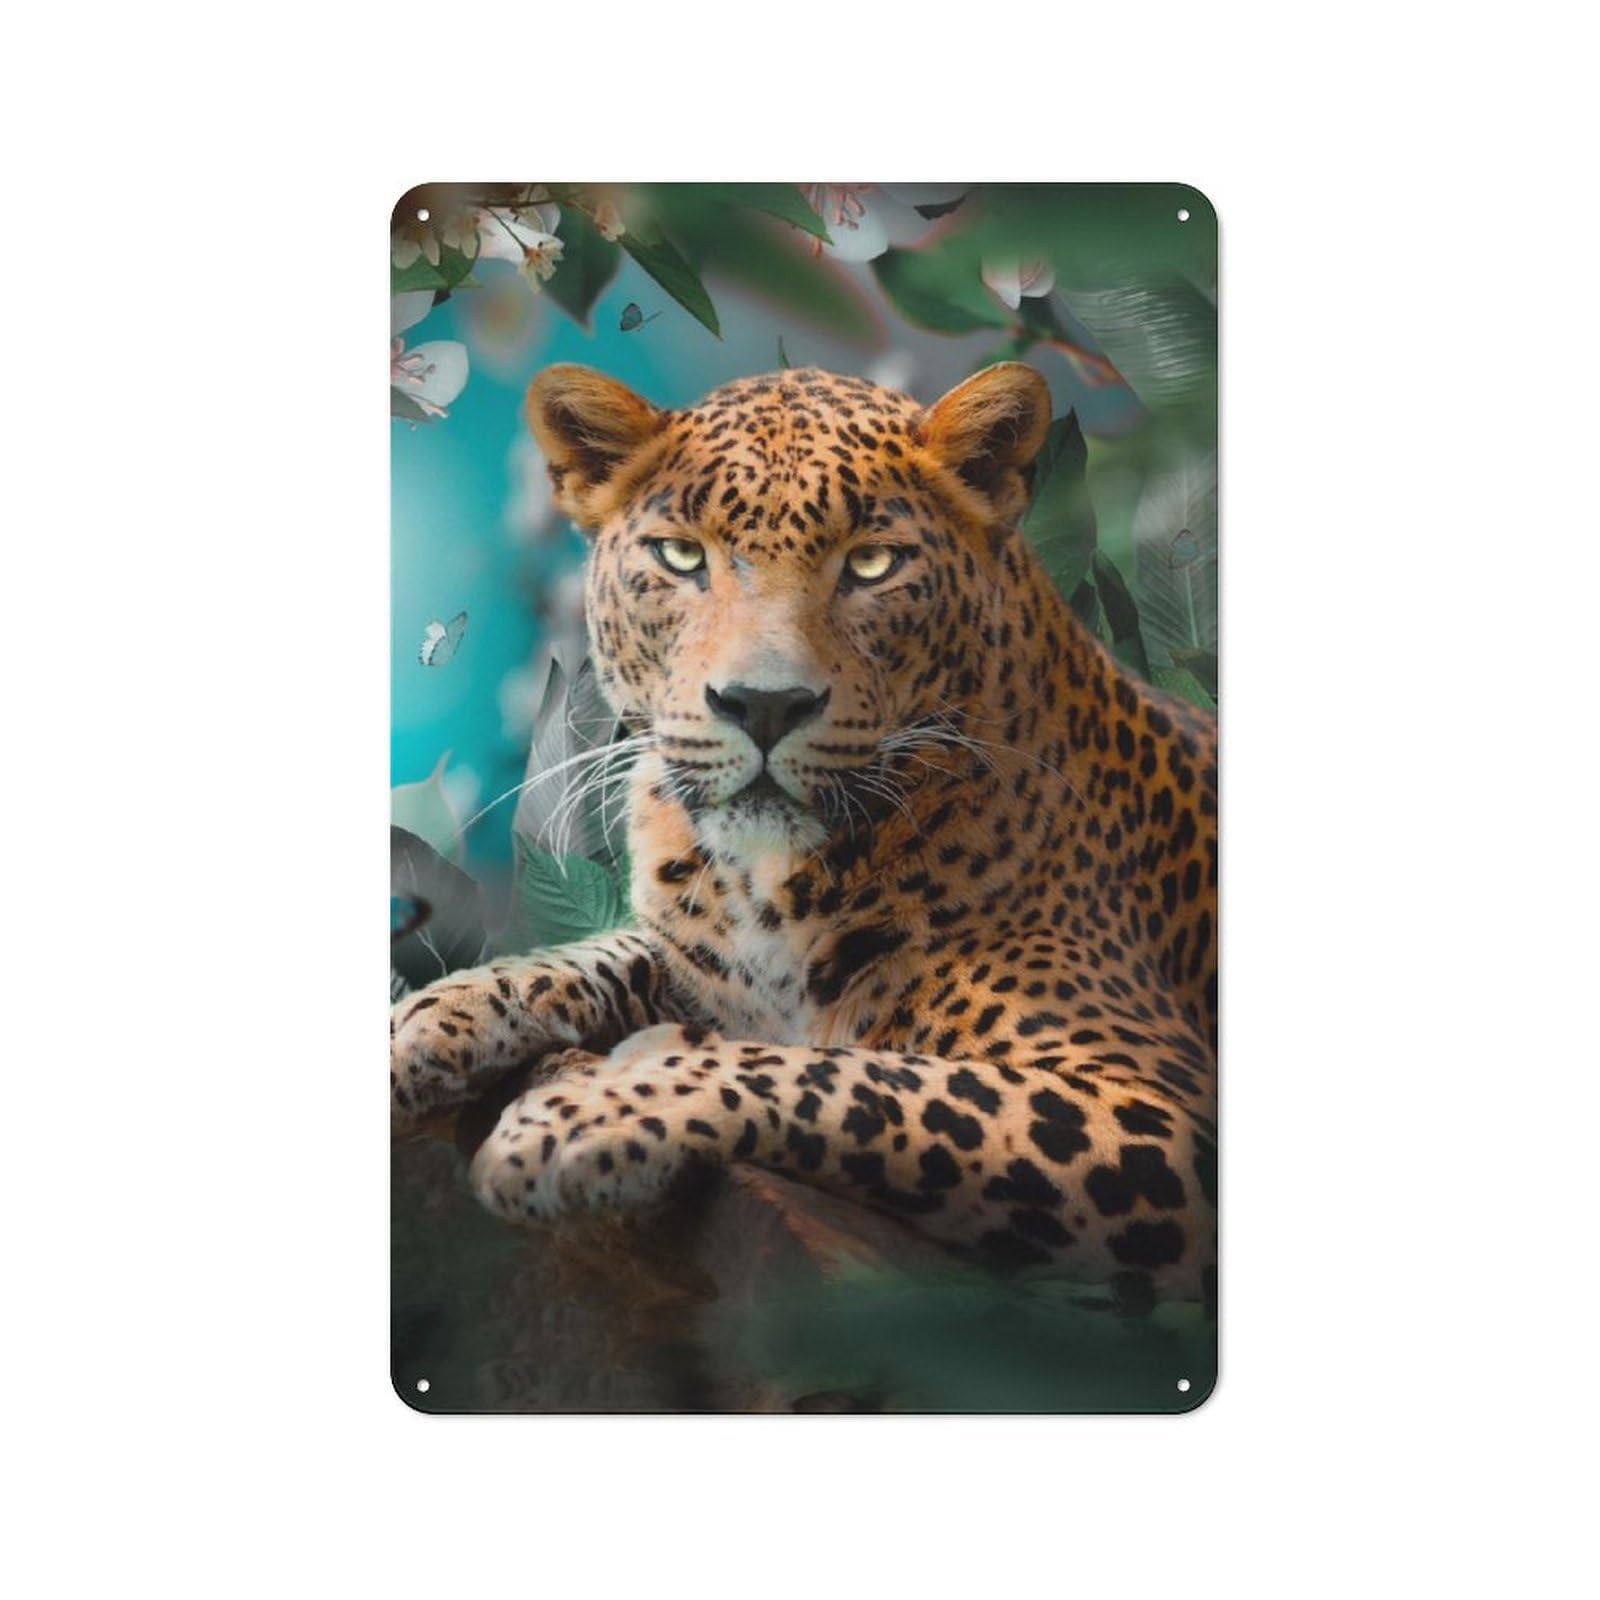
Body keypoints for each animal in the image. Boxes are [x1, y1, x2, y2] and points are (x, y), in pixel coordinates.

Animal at [391, 360, 1218, 1309]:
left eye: (871, 563)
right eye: (682, 556)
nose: (763, 704)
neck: (767, 886)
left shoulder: (1157, 1116)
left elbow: (851, 1076)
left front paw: (583, 1116)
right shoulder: (694, 958)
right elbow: (604, 954)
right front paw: (424, 1019)